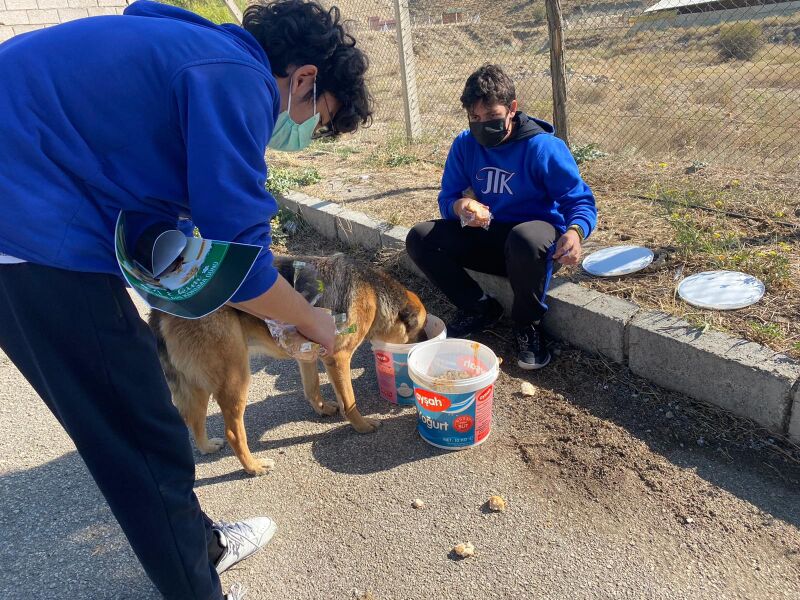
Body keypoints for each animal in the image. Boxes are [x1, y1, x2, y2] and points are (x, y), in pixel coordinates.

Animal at [148, 252, 428, 474]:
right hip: (235, 377)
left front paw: (322, 409)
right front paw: (362, 425)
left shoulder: (307, 354)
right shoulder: (338, 359)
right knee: (233, 432)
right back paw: (254, 467)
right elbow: (349, 401)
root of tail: (162, 309)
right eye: (421, 328)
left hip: (197, 385)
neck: (373, 292)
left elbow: (312, 388)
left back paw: (206, 447)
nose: (426, 341)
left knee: (194, 419)